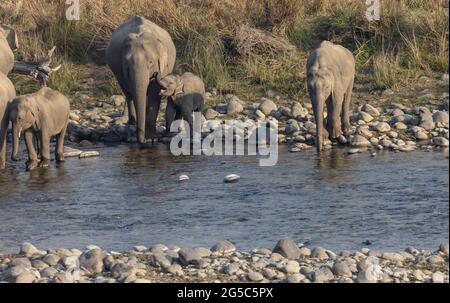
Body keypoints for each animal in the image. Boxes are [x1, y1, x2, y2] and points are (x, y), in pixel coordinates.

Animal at [105, 16, 176, 145]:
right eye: (127, 65)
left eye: (151, 62)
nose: (141, 141)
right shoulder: (122, 71)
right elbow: (133, 92)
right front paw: (137, 137)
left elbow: (154, 92)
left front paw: (152, 138)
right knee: (128, 95)